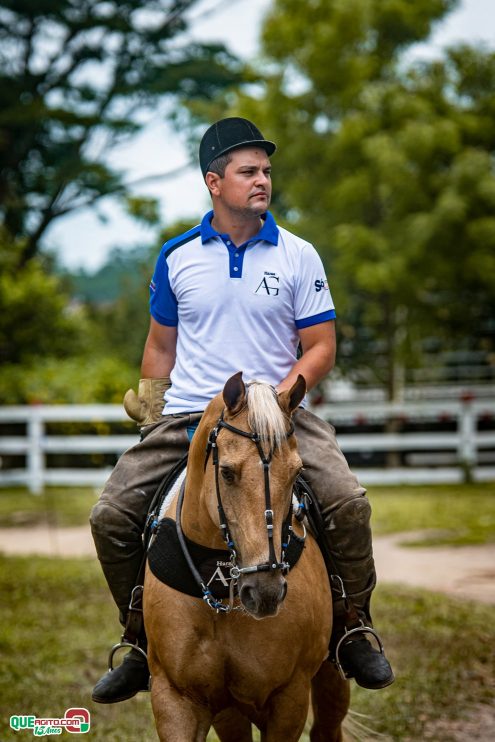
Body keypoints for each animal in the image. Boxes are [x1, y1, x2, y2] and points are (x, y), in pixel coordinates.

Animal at [145, 374, 350, 742]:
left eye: (296, 472)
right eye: (226, 472)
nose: (265, 591)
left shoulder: (290, 697)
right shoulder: (174, 697)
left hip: (331, 676)